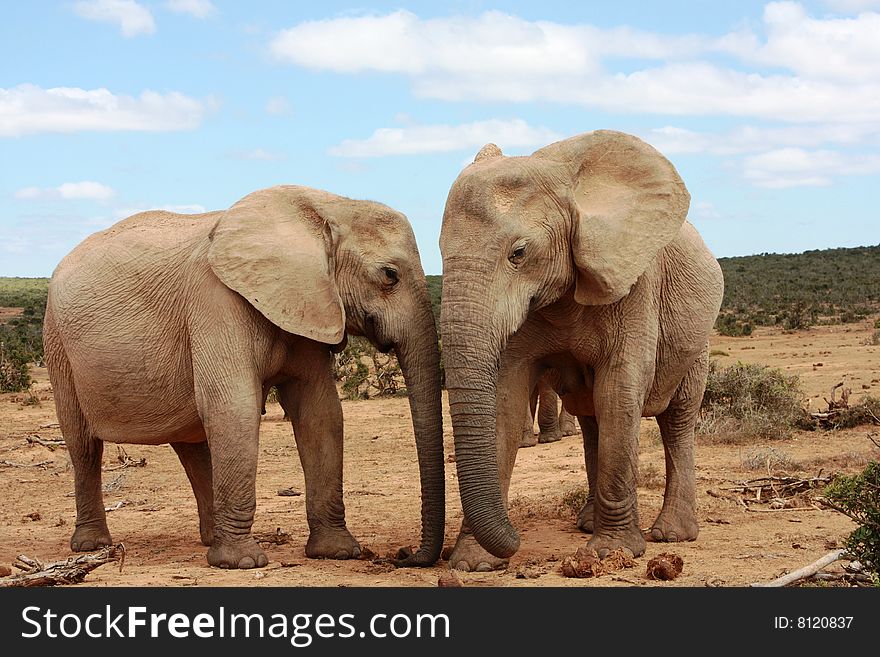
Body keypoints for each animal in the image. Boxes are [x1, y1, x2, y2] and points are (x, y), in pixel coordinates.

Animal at [43, 182, 446, 568]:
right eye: (390, 276)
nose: (404, 555)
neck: (327, 207)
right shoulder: (216, 301)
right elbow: (235, 409)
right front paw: (243, 563)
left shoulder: (308, 304)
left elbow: (320, 413)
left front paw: (337, 553)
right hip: (57, 344)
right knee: (84, 445)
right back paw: (93, 545)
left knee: (192, 442)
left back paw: (209, 539)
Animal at [440, 129, 720, 568]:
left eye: (518, 253)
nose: (516, 541)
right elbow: (505, 399)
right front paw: (474, 562)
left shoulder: (635, 284)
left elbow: (619, 391)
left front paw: (613, 553)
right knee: (593, 420)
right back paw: (588, 523)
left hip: (697, 341)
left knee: (676, 419)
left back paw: (673, 534)